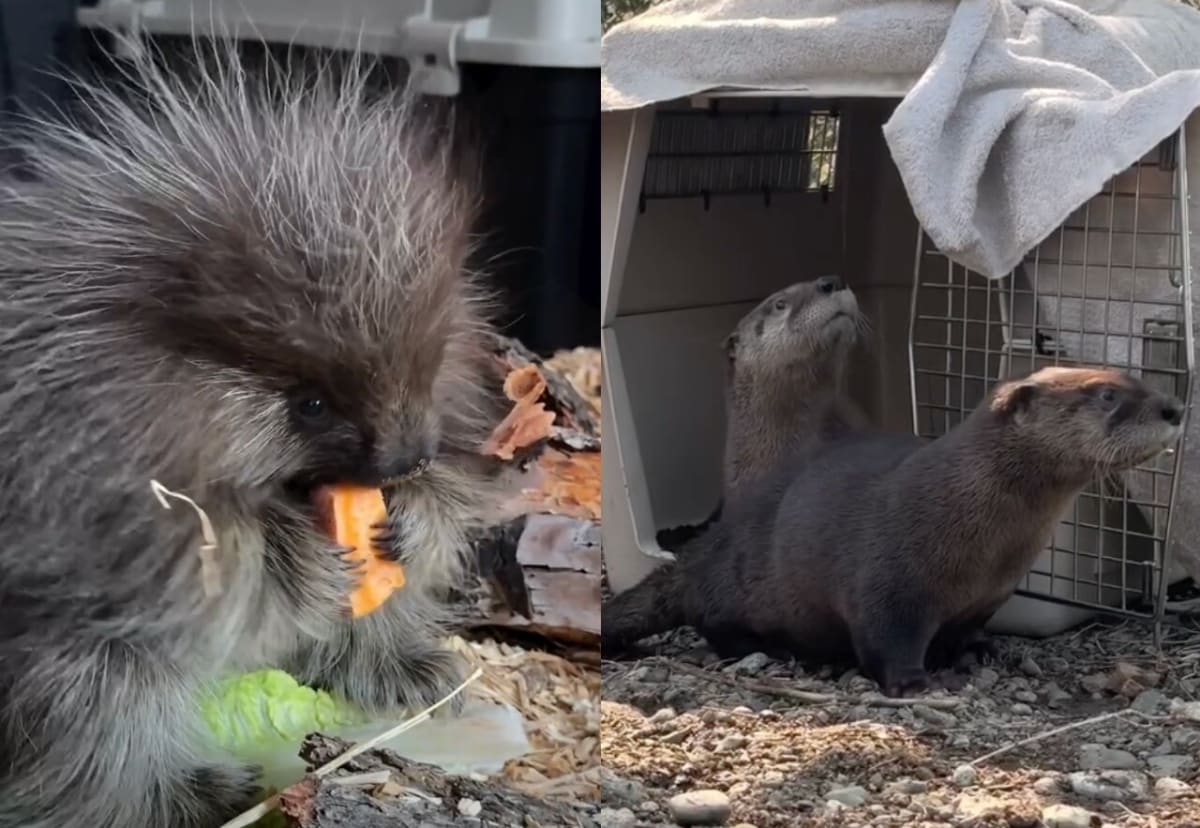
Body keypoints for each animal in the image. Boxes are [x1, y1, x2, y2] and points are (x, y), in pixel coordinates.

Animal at [603, 367, 1184, 697]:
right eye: (1105, 394)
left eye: (1136, 381)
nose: (1175, 406)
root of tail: (703, 549)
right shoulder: (889, 583)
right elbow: (886, 637)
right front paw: (915, 682)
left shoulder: (988, 595)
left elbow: (967, 629)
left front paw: (982, 651)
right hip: (735, 583)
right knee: (710, 621)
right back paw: (773, 651)